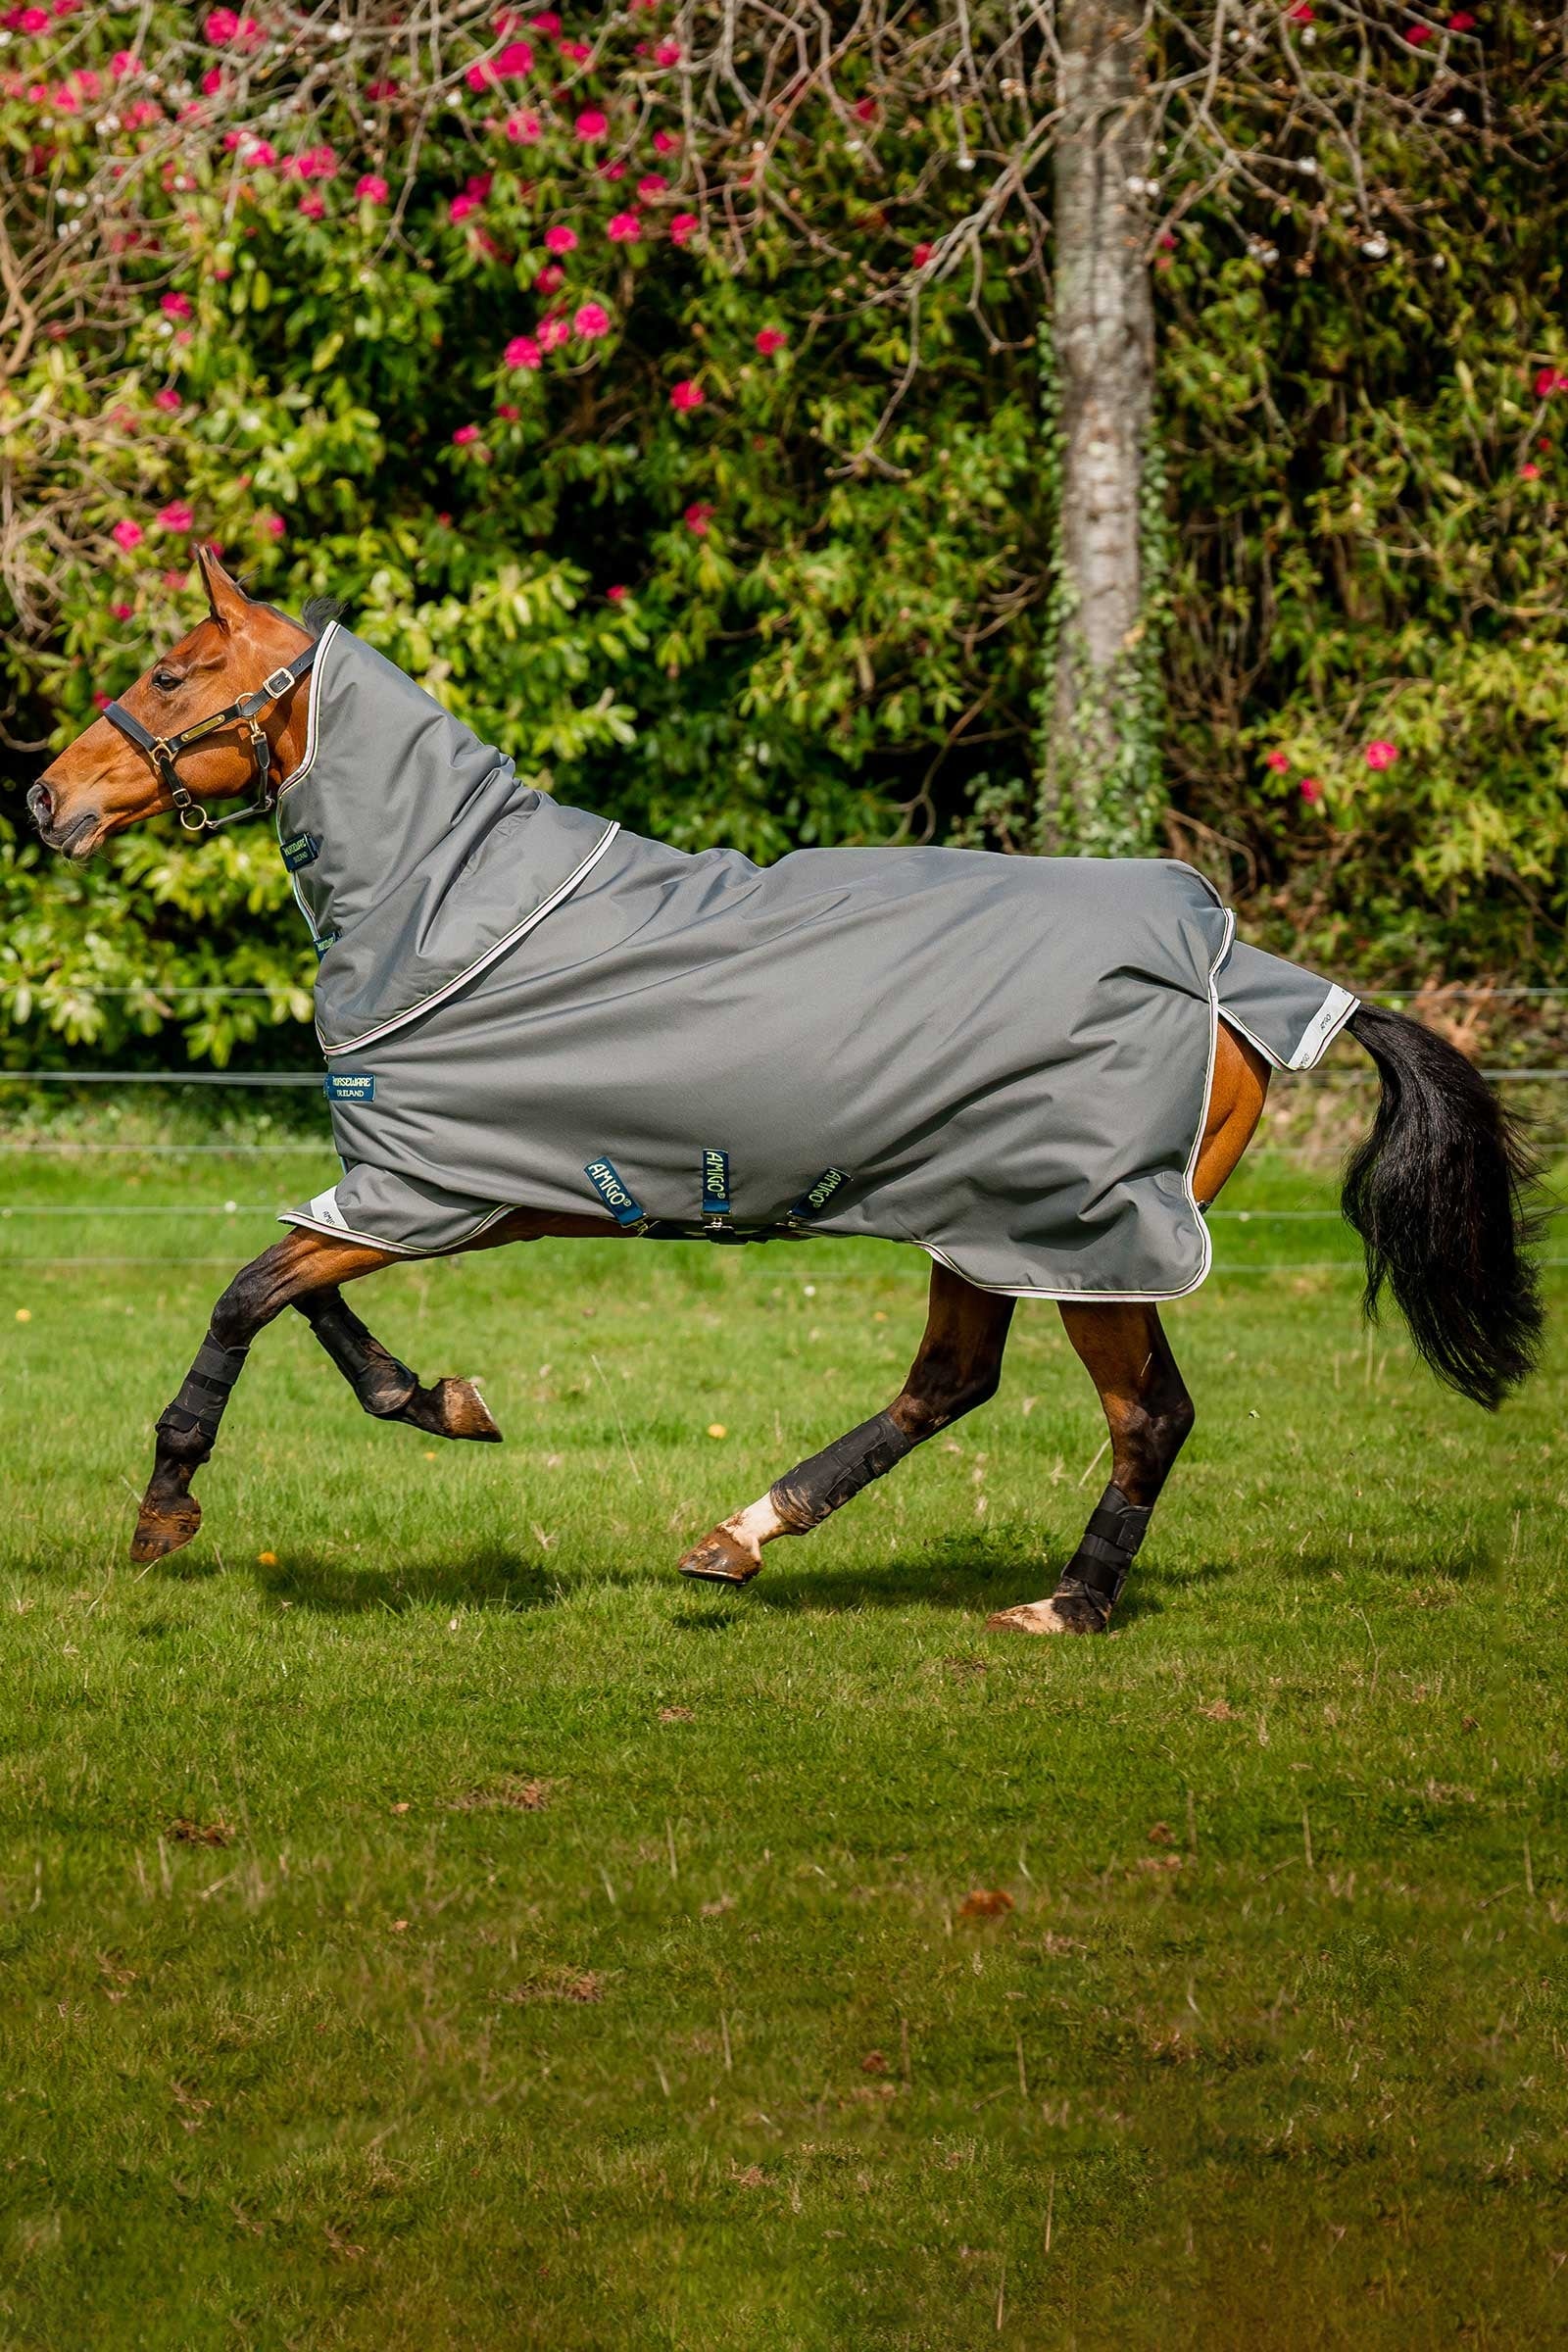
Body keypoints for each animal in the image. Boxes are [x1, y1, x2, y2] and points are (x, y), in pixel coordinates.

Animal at [26, 547, 1544, 1634]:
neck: (455, 908)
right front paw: (439, 1400)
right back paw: (741, 1539)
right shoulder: (413, 1195)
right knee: (949, 1385)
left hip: (1081, 1237)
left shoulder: (433, 1191)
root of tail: (1235, 971)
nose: (46, 802)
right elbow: (310, 1299)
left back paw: (1067, 1605)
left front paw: (166, 1509)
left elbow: (248, 1294)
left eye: (174, 672)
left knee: (1142, 1416)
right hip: (982, 1228)